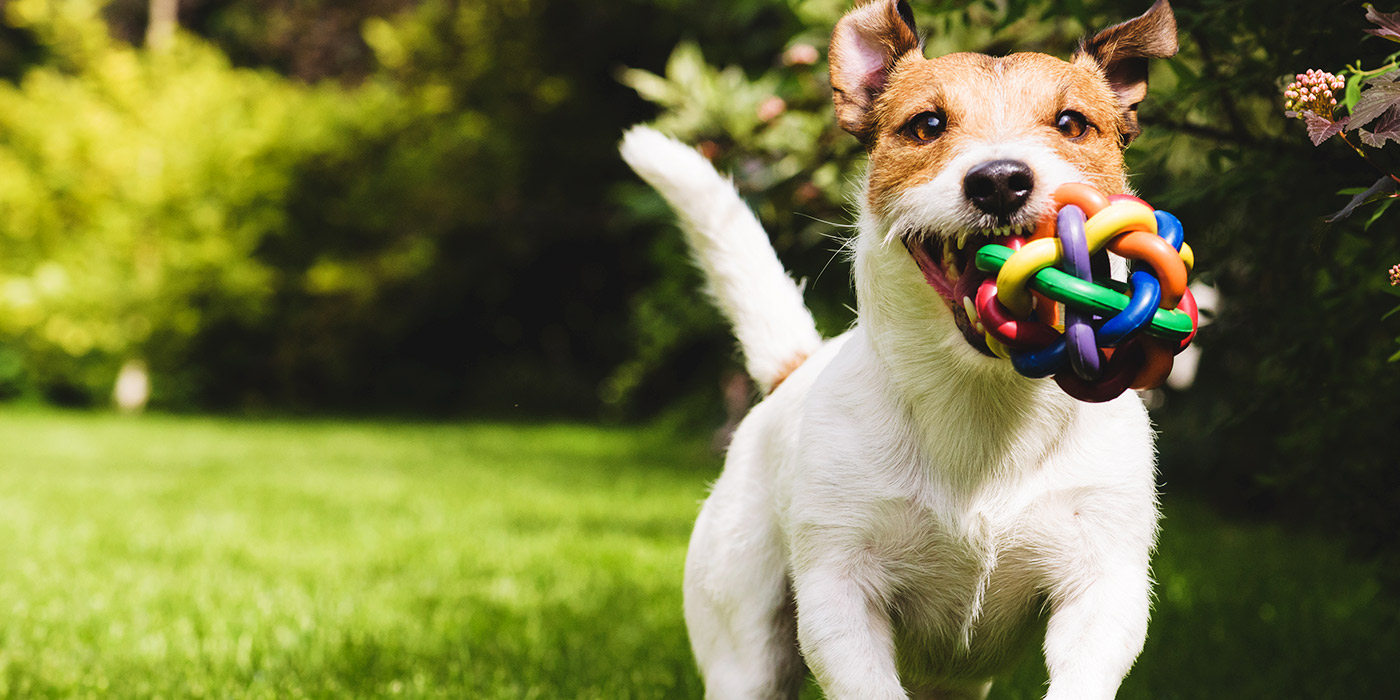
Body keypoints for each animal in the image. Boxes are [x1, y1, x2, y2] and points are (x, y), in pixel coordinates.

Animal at [618, 2, 1176, 697]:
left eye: (1073, 123)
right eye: (927, 124)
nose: (1000, 181)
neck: (981, 403)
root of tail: (792, 373)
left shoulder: (1102, 585)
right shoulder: (839, 595)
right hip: (746, 646)